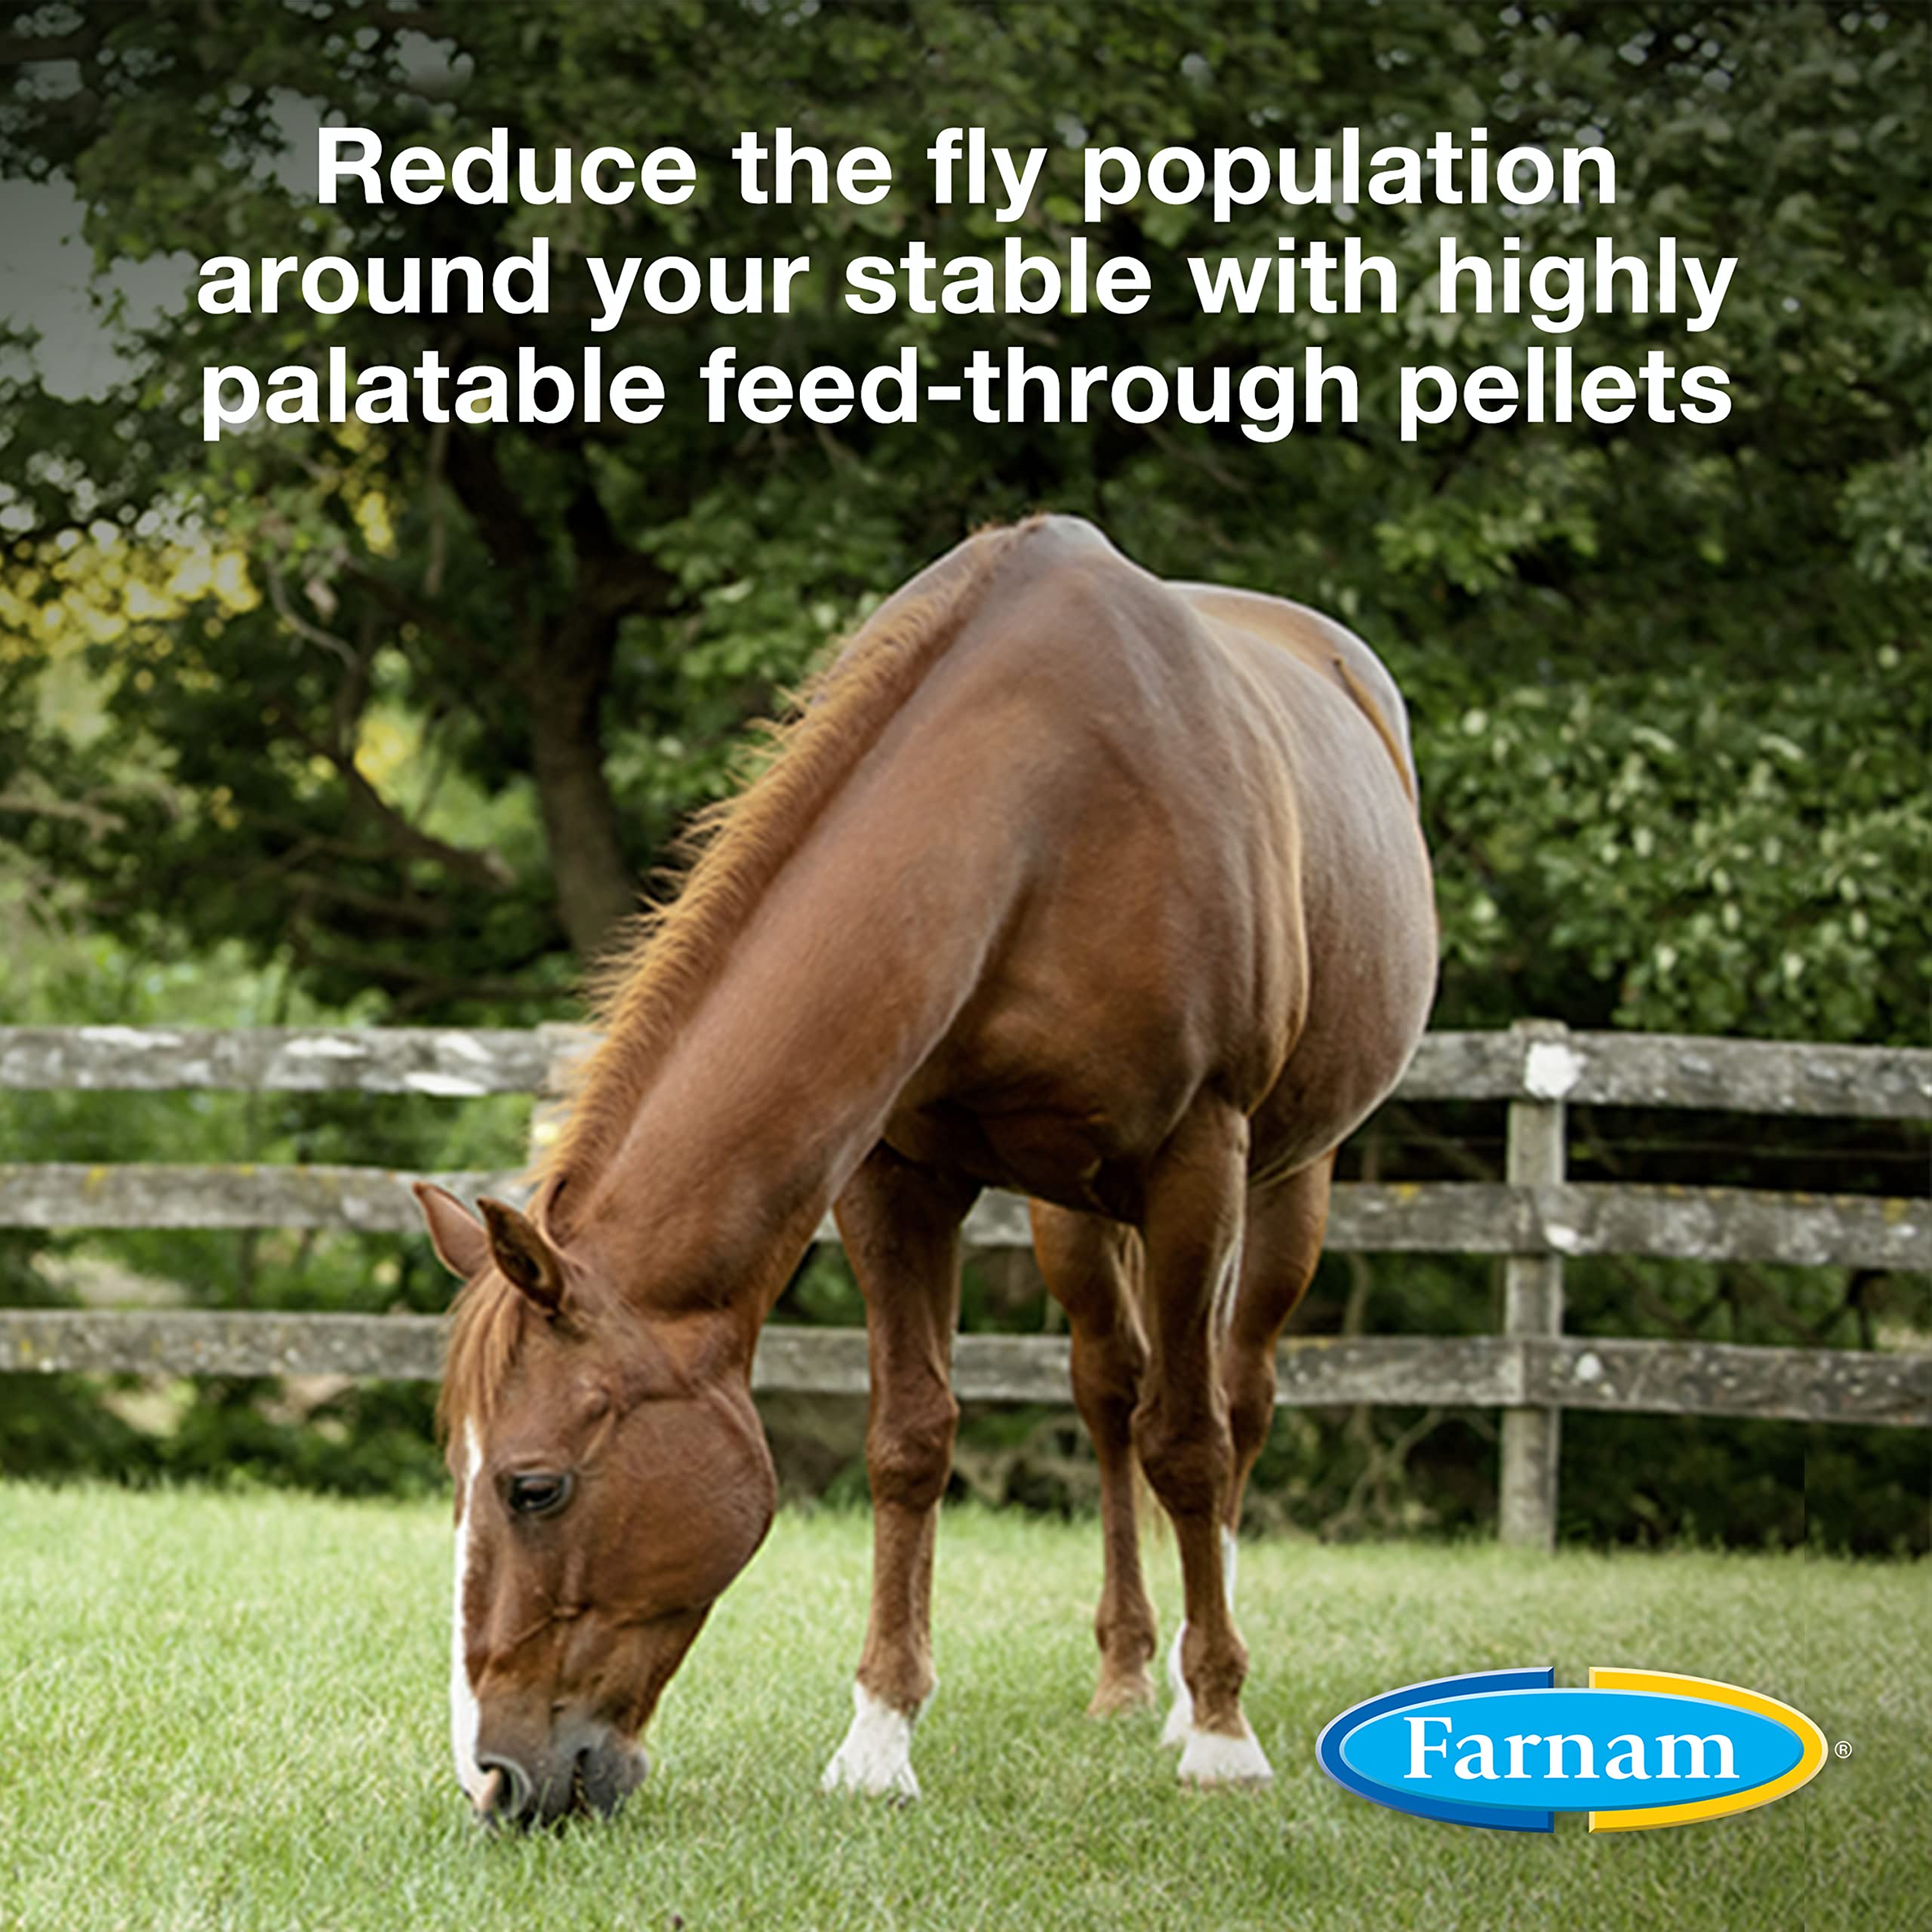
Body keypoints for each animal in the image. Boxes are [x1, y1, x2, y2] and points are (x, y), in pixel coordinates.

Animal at [415, 514, 1436, 1824]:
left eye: (532, 1487)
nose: (493, 1780)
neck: (1042, 813)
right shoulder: (894, 1177)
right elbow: (911, 1441)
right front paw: (878, 1739)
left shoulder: (1196, 1158)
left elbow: (1192, 1442)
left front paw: (1220, 1735)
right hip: (1075, 1215)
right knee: (1110, 1391)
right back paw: (1125, 1671)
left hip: (1282, 1180)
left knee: (1231, 1402)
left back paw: (1190, 1687)